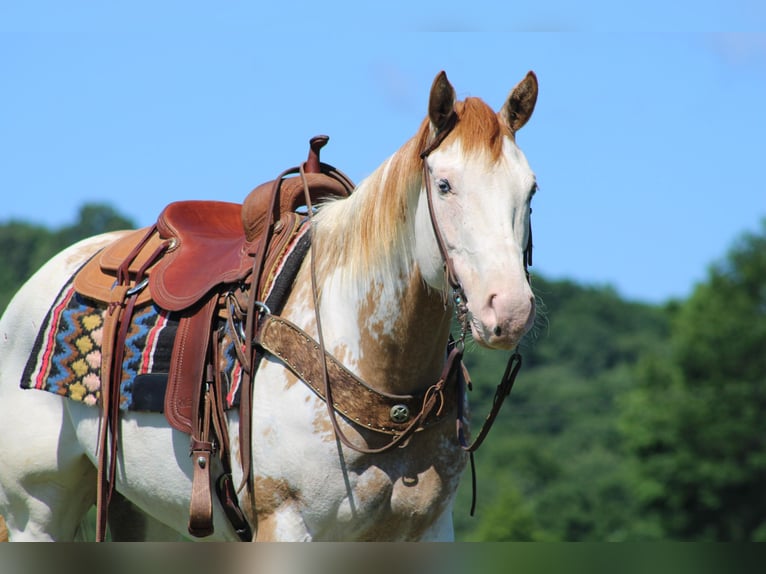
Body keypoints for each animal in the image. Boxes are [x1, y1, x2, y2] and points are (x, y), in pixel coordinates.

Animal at [0, 70, 539, 541]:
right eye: (444, 185)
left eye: (531, 188)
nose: (509, 310)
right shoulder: (285, 523)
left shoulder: (427, 534)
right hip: (36, 512)